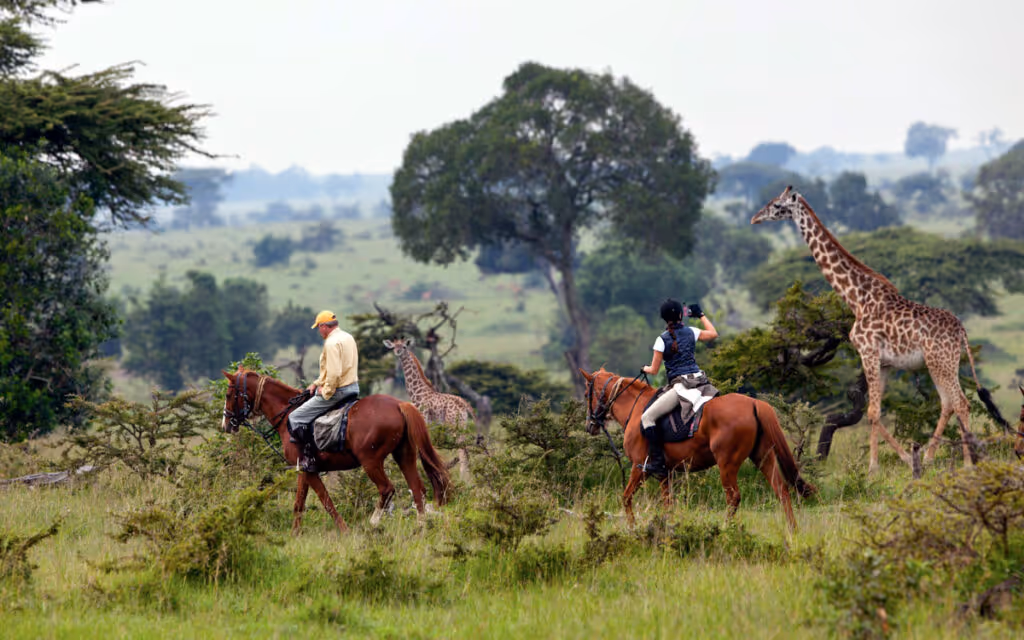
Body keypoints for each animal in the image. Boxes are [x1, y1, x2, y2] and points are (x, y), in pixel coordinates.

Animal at [221, 369, 451, 533]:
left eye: (229, 394)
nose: (226, 425)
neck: (287, 415)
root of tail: (399, 404)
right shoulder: (304, 468)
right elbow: (299, 503)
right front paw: (295, 534)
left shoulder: (308, 470)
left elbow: (326, 501)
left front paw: (344, 530)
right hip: (404, 455)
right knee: (418, 488)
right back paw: (421, 527)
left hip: (371, 461)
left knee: (387, 489)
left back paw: (372, 524)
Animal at [581, 368, 815, 532]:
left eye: (586, 394)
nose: (590, 425)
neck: (637, 409)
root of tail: (754, 403)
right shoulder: (665, 473)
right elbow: (668, 503)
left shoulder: (640, 468)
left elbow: (626, 498)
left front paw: (632, 527)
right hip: (763, 457)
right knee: (781, 490)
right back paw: (792, 530)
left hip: (727, 464)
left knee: (734, 497)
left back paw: (725, 530)